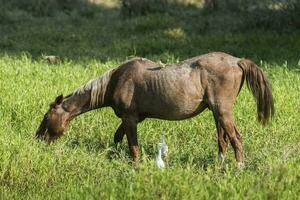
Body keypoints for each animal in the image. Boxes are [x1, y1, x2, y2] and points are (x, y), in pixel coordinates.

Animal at [35, 51, 274, 166]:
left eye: (47, 117)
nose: (38, 138)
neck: (115, 81)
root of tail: (237, 61)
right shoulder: (133, 119)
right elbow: (118, 137)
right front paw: (114, 154)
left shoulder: (130, 119)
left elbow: (133, 146)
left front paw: (135, 165)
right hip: (216, 113)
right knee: (222, 140)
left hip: (222, 112)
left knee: (235, 139)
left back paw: (239, 167)